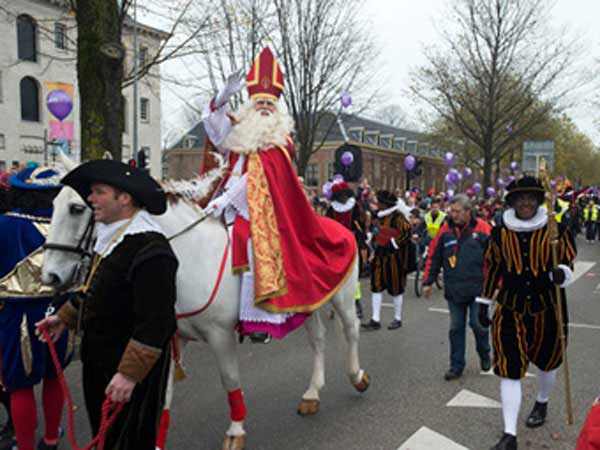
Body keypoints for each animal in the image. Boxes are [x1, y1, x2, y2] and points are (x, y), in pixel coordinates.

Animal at [41, 156, 370, 448]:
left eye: (76, 208)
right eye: (52, 205)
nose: (50, 276)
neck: (190, 259)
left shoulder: (220, 335)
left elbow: (229, 379)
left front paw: (236, 430)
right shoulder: (171, 337)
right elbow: (164, 392)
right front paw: (158, 439)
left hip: (342, 297)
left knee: (351, 331)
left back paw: (357, 377)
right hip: (306, 307)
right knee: (318, 340)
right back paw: (312, 394)